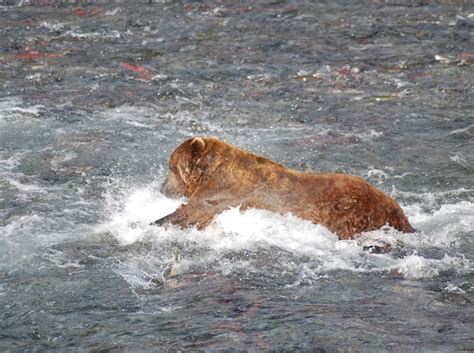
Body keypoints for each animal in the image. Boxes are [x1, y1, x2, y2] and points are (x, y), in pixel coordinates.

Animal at [155, 135, 414, 239]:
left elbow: (191, 214)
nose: (161, 188)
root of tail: (399, 211)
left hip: (354, 212)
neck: (209, 174)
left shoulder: (222, 195)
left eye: (170, 167)